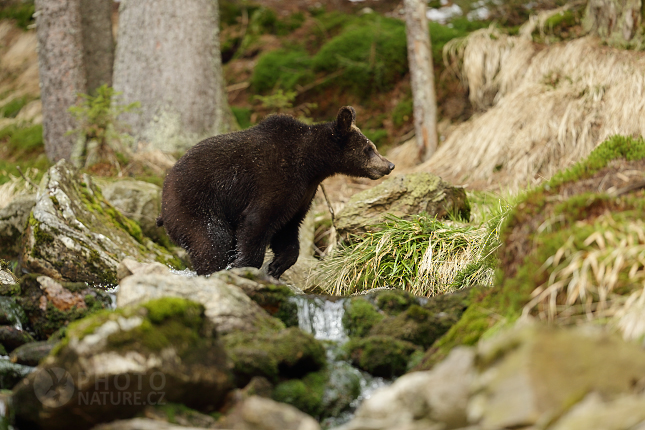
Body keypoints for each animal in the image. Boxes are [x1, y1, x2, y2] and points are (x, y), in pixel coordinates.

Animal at [158, 106, 394, 278]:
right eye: (368, 148)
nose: (389, 165)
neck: (312, 166)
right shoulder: (275, 181)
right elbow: (257, 221)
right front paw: (243, 265)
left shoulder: (302, 195)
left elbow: (287, 230)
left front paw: (276, 265)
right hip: (194, 204)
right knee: (211, 239)